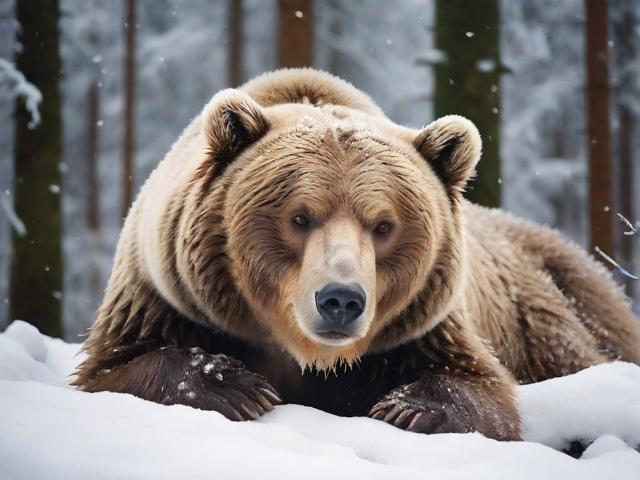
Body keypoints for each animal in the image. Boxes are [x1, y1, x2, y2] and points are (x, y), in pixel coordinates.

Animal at [75, 68, 640, 442]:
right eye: (300, 217)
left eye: (384, 225)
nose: (341, 300)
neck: (308, 356)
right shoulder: (164, 295)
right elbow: (116, 368)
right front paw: (235, 388)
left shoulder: (428, 326)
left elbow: (483, 391)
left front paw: (409, 408)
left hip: (552, 305)